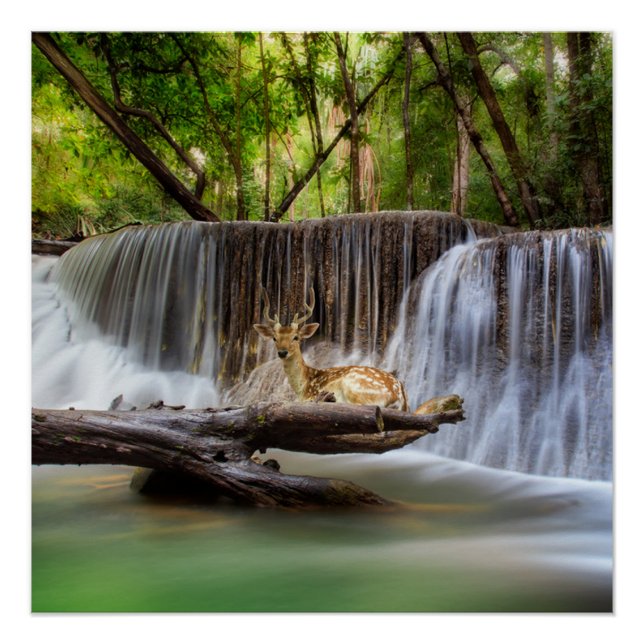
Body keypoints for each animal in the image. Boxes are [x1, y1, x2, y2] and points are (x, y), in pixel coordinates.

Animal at [253, 287, 409, 411]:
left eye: (296, 337)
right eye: (274, 338)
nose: (282, 352)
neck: (304, 385)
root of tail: (398, 395)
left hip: (353, 385)